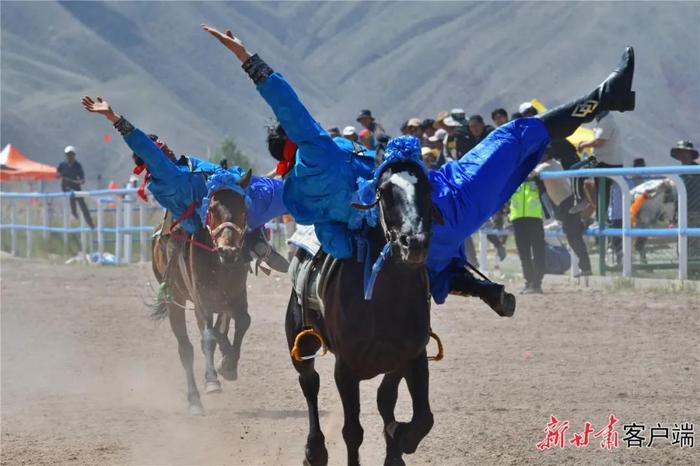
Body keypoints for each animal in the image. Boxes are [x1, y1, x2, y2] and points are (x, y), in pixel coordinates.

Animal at [152, 170, 253, 416]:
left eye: (243, 209)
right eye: (213, 209)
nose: (228, 251)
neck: (219, 263)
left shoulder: (235, 296)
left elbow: (242, 321)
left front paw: (229, 365)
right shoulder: (202, 299)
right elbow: (208, 337)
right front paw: (212, 381)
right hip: (175, 300)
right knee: (186, 349)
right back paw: (195, 400)